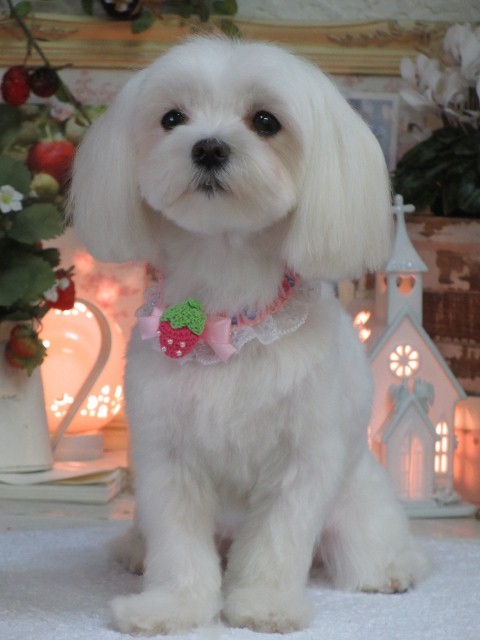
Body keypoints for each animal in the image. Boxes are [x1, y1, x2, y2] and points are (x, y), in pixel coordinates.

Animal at [70, 36, 430, 635]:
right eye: (172, 118)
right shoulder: (168, 455)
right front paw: (171, 608)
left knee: (366, 543)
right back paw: (135, 552)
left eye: (266, 121)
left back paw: (391, 569)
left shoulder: (302, 459)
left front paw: (264, 605)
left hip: (358, 499)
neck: (228, 314)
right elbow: (179, 547)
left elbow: (277, 543)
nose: (209, 147)